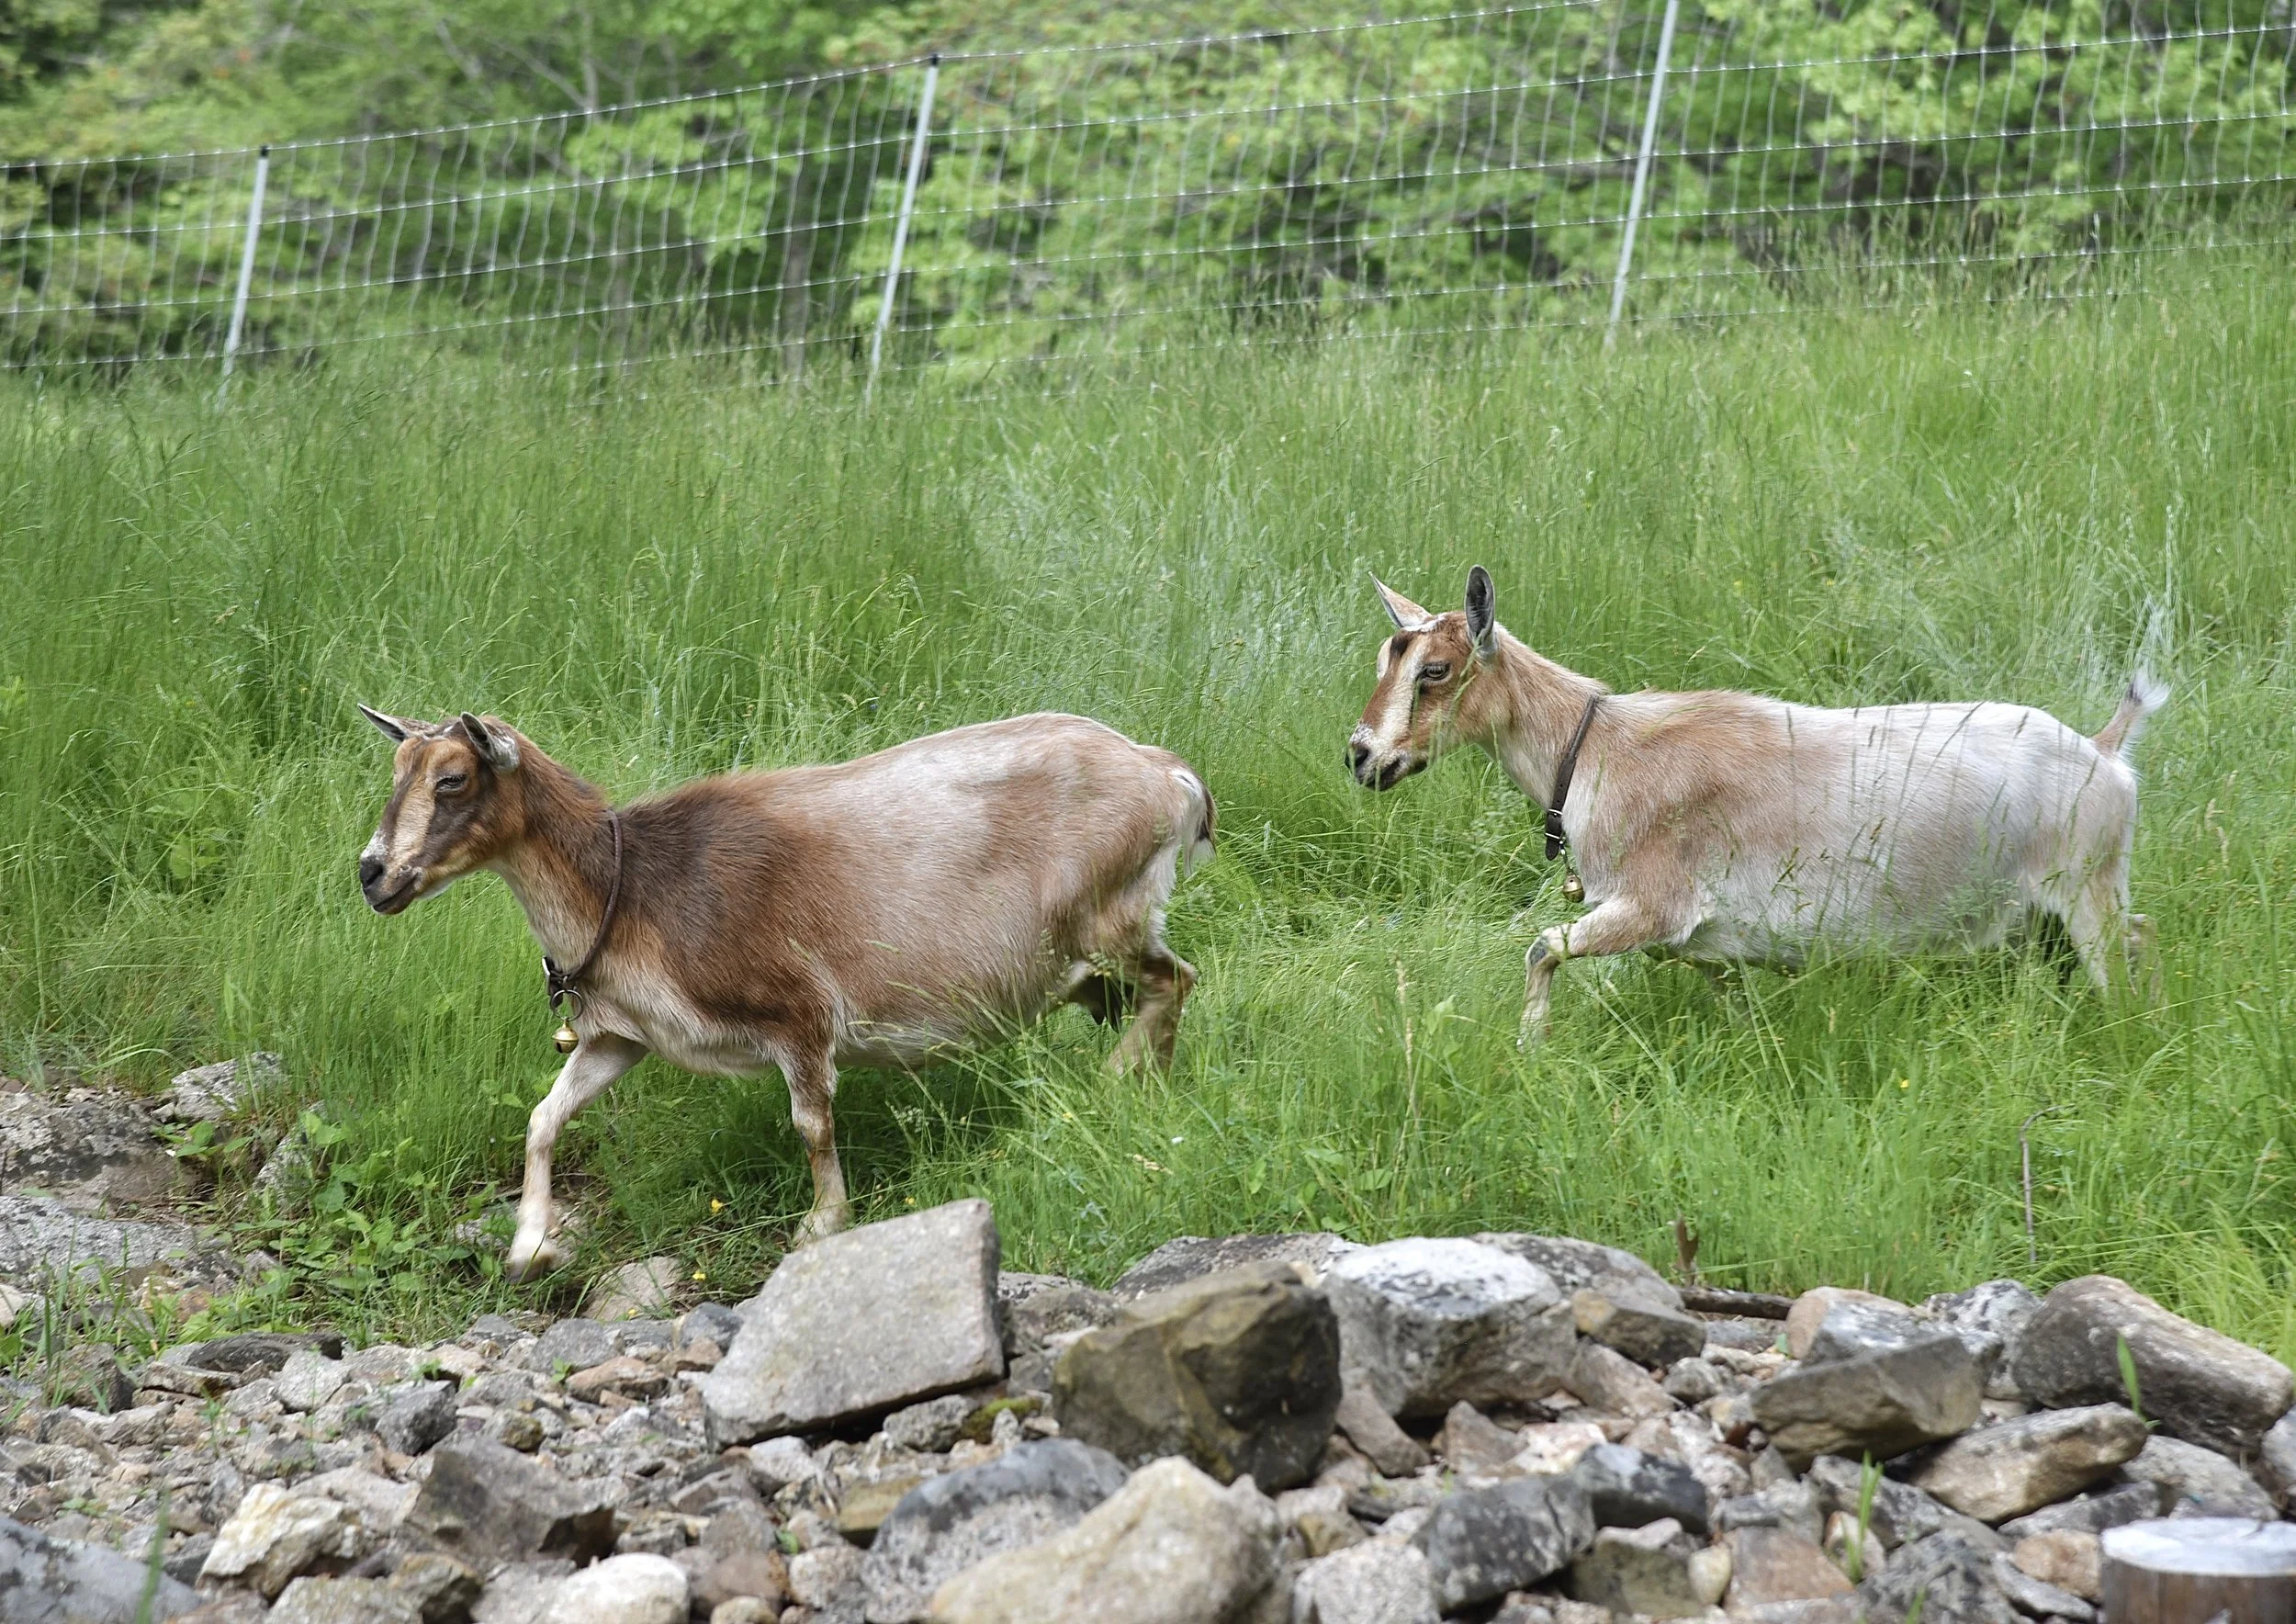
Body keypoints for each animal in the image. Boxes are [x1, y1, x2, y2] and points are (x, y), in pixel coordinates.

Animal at [357, 708, 1214, 1279]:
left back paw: (1121, 1085)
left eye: (453, 779)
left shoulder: (798, 1013)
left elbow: (811, 1123)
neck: (633, 889)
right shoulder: (621, 1036)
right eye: (396, 775)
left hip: (1107, 919)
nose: (372, 875)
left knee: (1176, 979)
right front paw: (530, 1245)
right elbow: (543, 1117)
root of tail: (1169, 775)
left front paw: (820, 1226)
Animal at [1348, 567, 2163, 1039]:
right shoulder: (1706, 944)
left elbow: (1542, 947)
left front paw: (1528, 1046)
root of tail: (2105, 751)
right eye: (1390, 658)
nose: (1361, 755)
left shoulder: (1650, 905)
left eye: (1436, 670)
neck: (1598, 749)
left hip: (2086, 889)